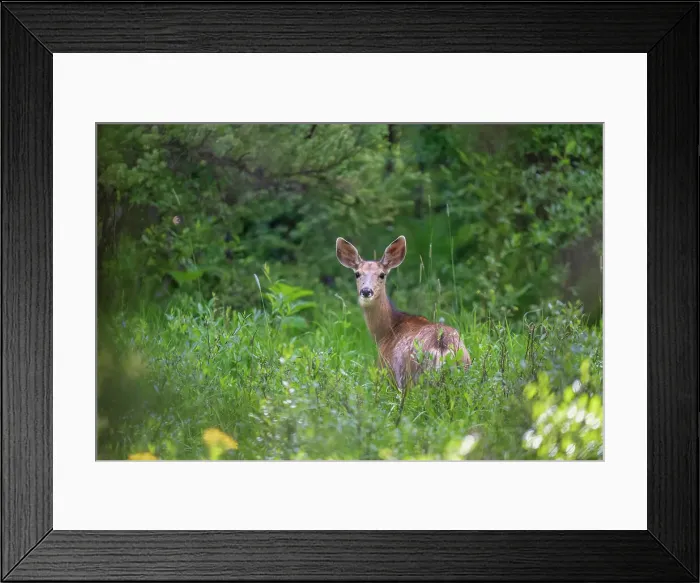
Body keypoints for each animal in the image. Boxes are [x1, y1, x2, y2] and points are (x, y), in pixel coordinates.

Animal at [336, 235, 471, 390]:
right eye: (357, 274)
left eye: (382, 275)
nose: (366, 291)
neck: (386, 331)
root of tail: (442, 346)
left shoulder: (386, 372)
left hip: (412, 378)